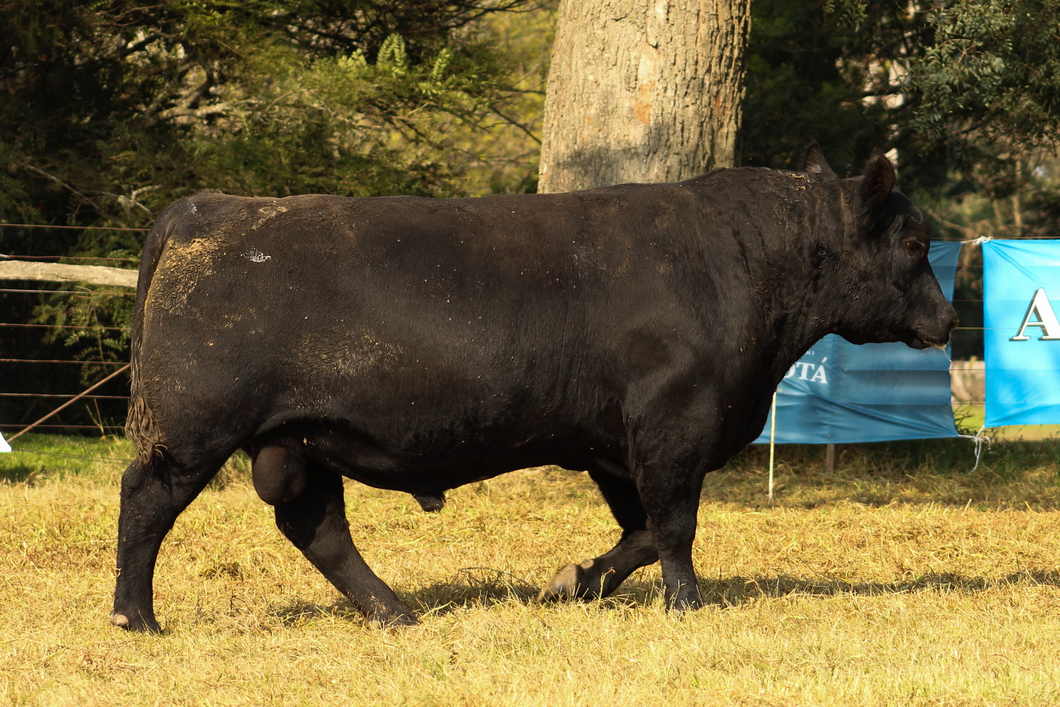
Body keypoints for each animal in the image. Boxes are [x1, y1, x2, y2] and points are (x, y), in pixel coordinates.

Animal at [109, 146, 962, 631]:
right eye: (913, 241)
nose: (949, 317)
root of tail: (208, 207)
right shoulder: (673, 424)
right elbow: (675, 525)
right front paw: (686, 605)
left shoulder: (615, 445)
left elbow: (642, 530)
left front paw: (575, 581)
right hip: (192, 429)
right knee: (145, 503)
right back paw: (136, 616)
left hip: (298, 439)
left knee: (317, 528)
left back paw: (395, 612)